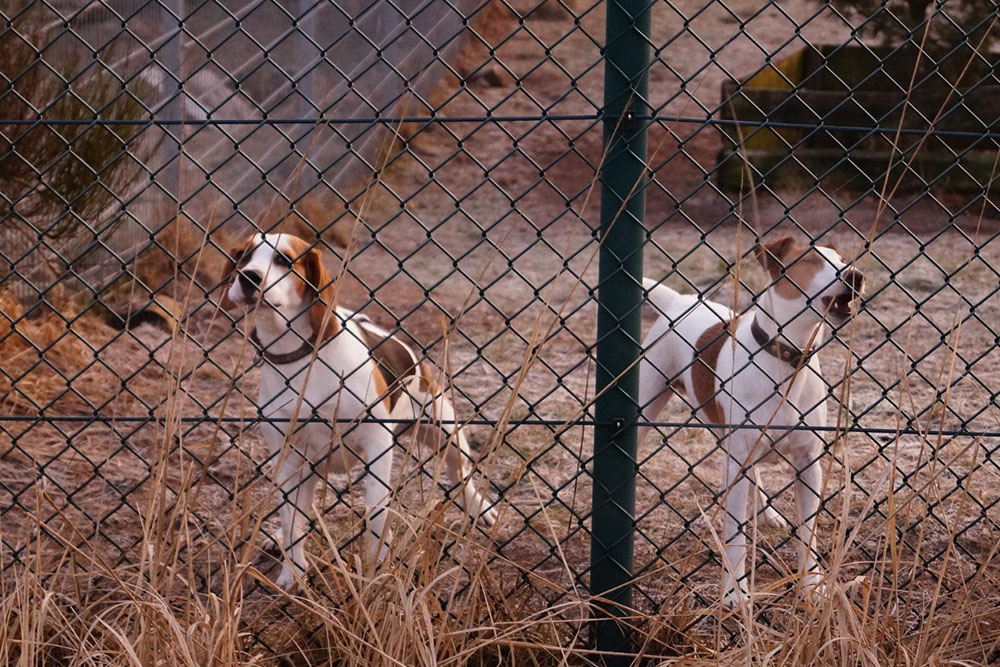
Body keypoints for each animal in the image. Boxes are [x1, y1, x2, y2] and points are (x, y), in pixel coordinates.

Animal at [223, 232, 496, 588]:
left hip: (445, 432)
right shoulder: (289, 459)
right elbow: (291, 522)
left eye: (284, 260)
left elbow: (376, 511)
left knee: (459, 474)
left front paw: (378, 564)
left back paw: (479, 508)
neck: (301, 357)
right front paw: (291, 573)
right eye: (244, 256)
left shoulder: (377, 445)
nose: (248, 277)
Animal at [636, 236, 864, 604]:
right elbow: (736, 536)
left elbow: (809, 531)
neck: (786, 360)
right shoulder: (739, 459)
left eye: (844, 260)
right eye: (811, 260)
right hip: (647, 406)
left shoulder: (808, 463)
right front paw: (735, 594)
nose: (856, 275)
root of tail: (679, 300)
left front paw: (812, 586)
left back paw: (768, 514)